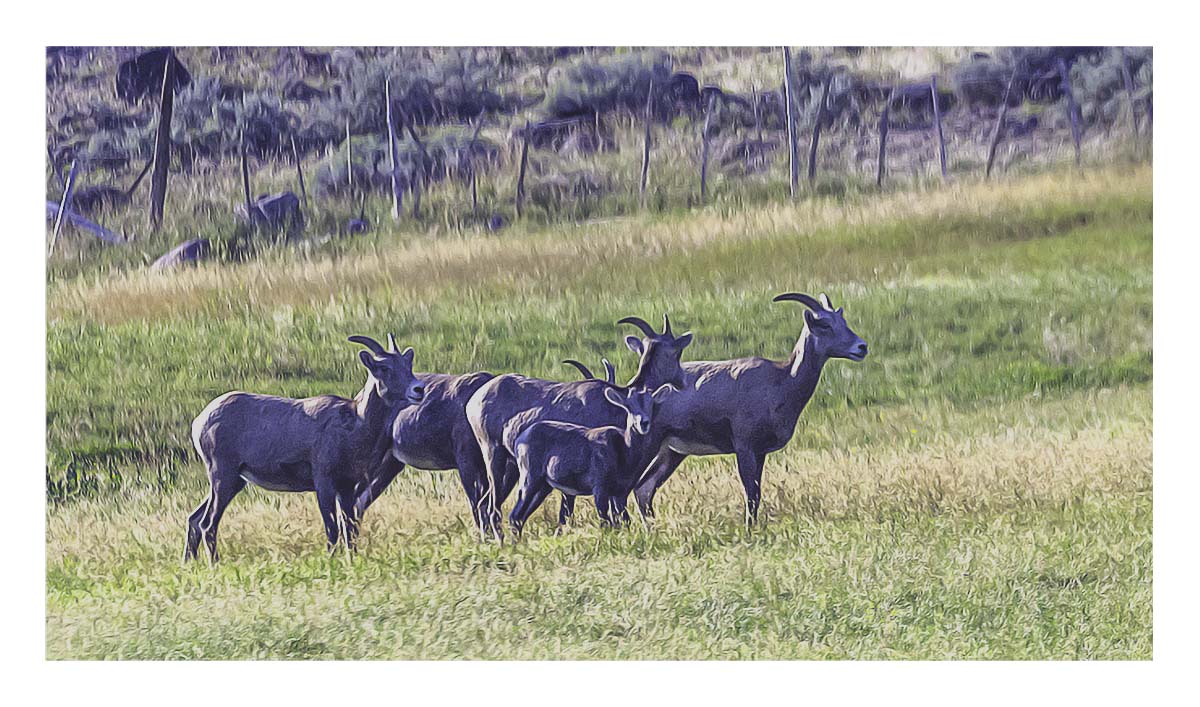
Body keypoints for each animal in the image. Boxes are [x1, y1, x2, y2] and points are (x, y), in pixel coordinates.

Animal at [182, 333, 427, 559]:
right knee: (207, 524)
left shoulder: (347, 488)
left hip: (234, 482)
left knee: (195, 519)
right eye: (384, 367)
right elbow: (332, 530)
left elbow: (349, 529)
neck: (354, 425)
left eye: (408, 364)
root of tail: (200, 421)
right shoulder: (324, 484)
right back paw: (214, 564)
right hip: (223, 477)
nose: (418, 390)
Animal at [628, 289, 873, 520]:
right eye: (824, 324)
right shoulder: (744, 447)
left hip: (671, 453)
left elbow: (757, 494)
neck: (781, 383)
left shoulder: (761, 452)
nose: (861, 347)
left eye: (843, 321)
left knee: (644, 489)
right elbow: (751, 495)